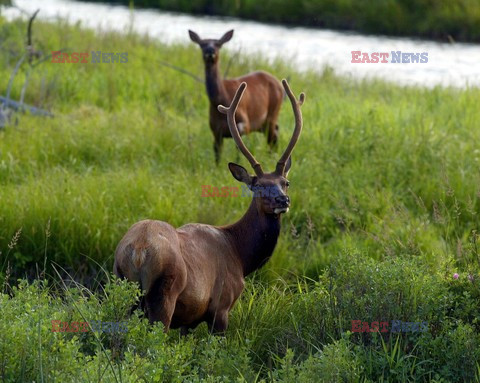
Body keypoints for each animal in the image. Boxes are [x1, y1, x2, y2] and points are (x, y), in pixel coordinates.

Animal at [113, 79, 304, 334]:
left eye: (286, 183)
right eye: (258, 186)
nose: (283, 200)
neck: (241, 255)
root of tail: (138, 251)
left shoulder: (189, 320)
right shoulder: (221, 307)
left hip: (121, 286)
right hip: (164, 294)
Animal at [188, 29, 284, 163]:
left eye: (218, 44)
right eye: (202, 44)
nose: (210, 51)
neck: (222, 99)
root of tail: (278, 83)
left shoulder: (245, 122)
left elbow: (238, 152)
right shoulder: (215, 130)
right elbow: (217, 155)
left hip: (272, 113)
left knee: (272, 135)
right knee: (275, 132)